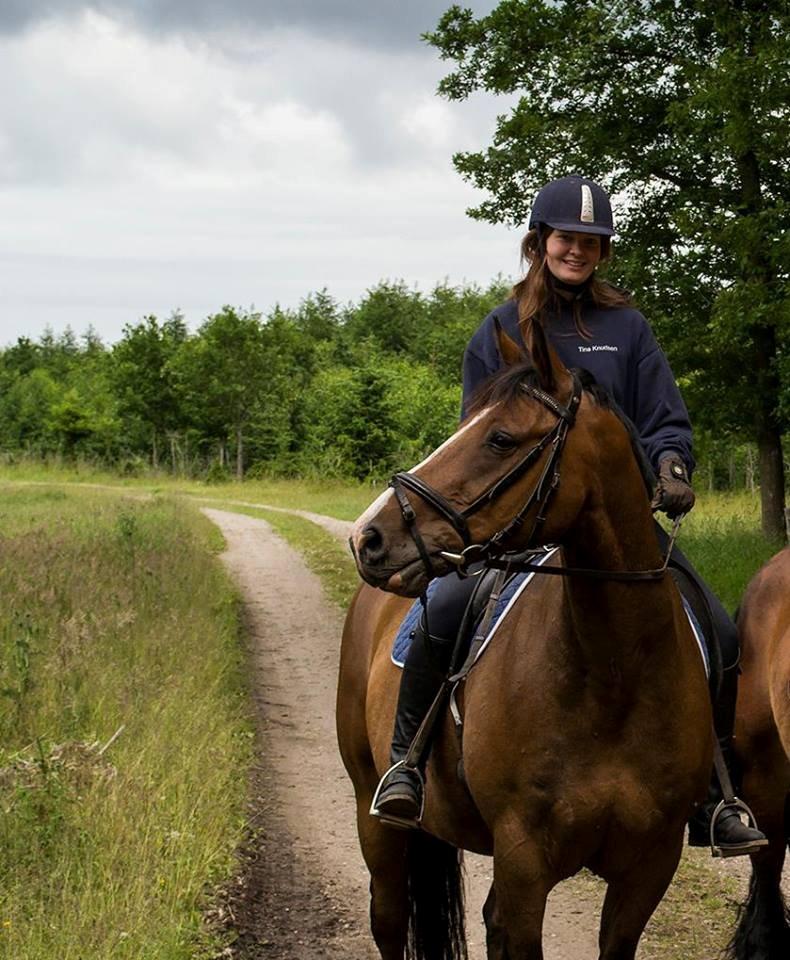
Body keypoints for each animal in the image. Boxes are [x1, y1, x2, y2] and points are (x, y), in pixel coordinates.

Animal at [338, 324, 716, 960]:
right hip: (377, 821)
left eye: (500, 438)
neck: (612, 673)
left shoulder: (648, 867)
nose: (368, 537)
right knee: (388, 918)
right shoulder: (523, 861)